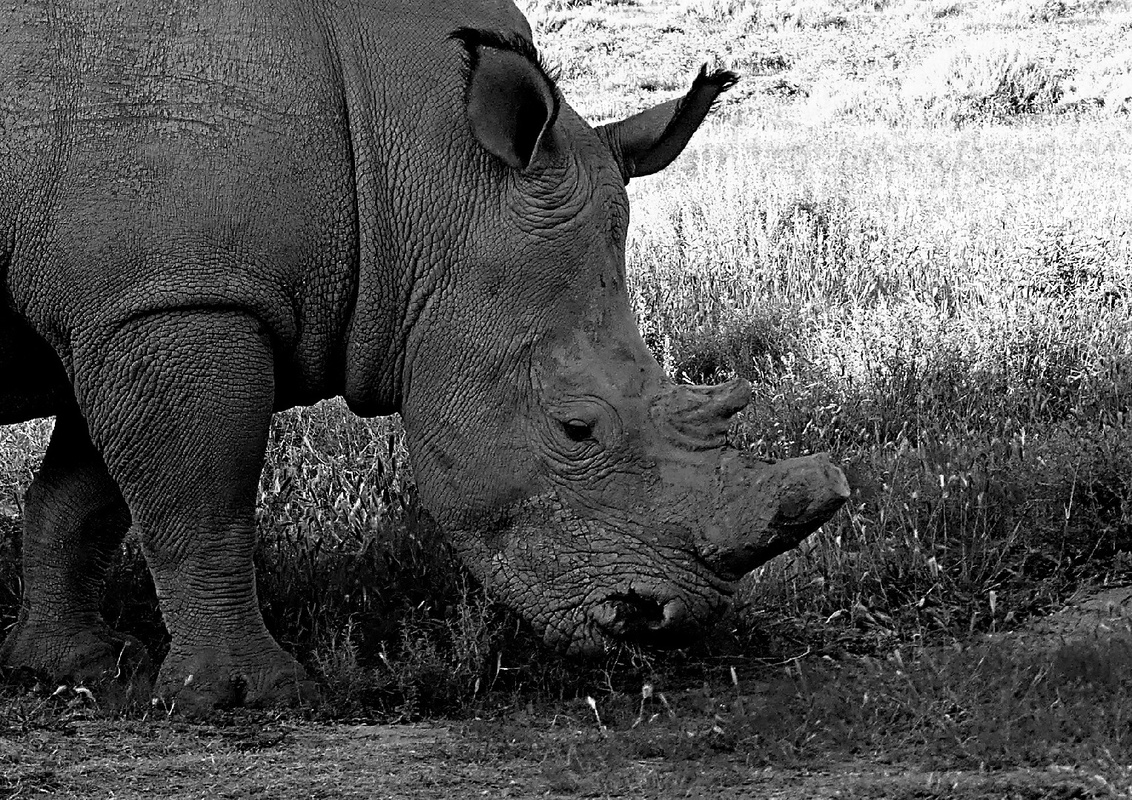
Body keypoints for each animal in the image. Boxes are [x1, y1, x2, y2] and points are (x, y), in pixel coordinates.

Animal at [0, 0, 849, 713]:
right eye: (576, 429)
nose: (666, 621)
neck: (426, 162)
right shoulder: (179, 297)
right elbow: (198, 500)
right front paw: (247, 696)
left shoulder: (130, 304)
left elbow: (86, 497)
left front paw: (73, 665)